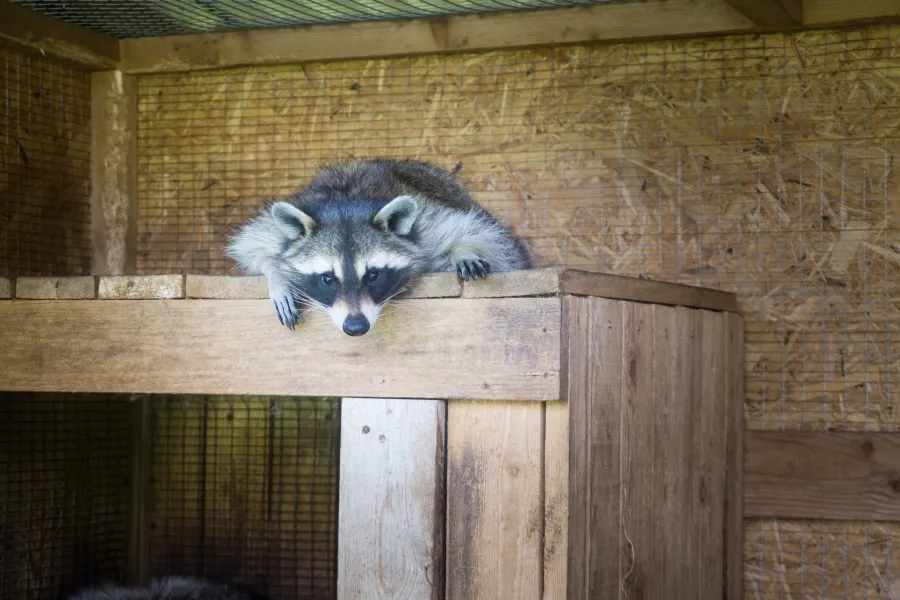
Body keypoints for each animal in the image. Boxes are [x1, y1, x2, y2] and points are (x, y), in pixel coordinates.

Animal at [227, 157, 536, 336]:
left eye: (374, 275)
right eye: (327, 279)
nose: (355, 327)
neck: (347, 204)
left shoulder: (427, 221)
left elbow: (489, 238)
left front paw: (465, 248)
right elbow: (253, 241)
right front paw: (276, 272)